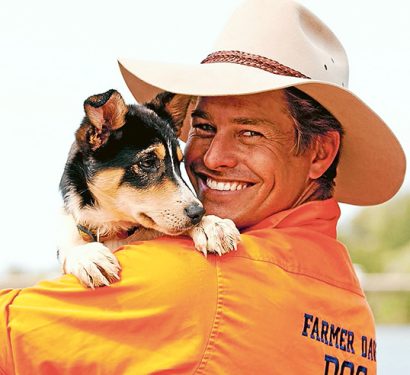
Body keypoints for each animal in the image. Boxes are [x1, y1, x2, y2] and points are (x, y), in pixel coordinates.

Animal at [56, 89, 239, 290]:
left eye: (179, 162)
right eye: (148, 161)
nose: (198, 213)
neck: (115, 229)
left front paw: (212, 225)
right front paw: (88, 255)